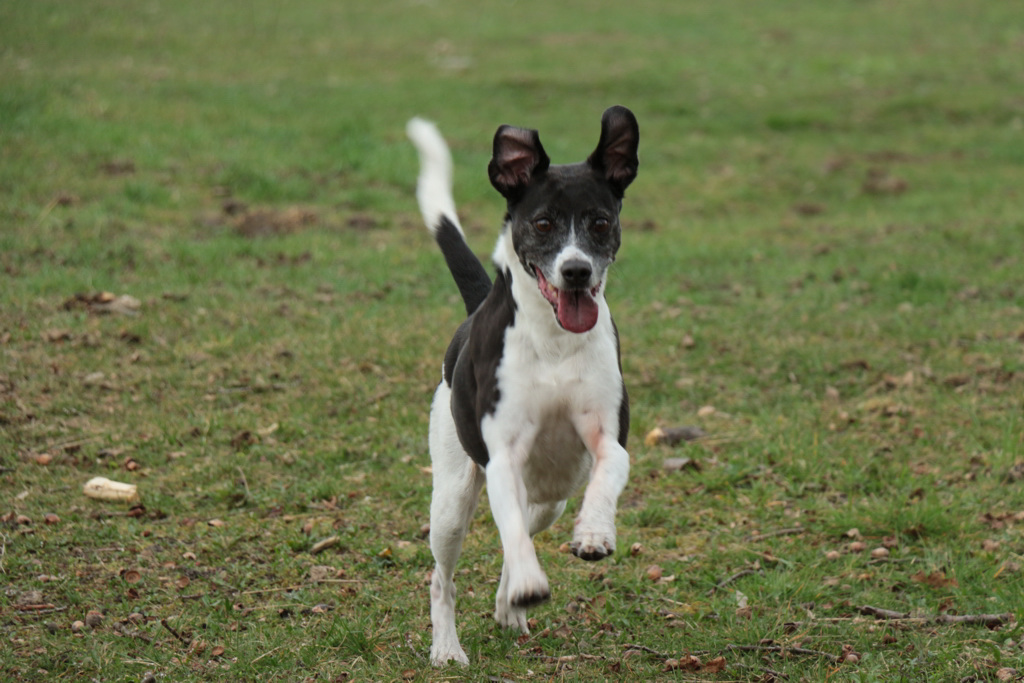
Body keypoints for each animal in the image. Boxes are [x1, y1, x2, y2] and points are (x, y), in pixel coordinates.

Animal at [407, 107, 638, 667]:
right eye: (543, 223)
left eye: (600, 222)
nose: (576, 271)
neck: (553, 340)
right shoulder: (503, 457)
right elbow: (508, 529)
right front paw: (529, 585)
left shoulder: (607, 436)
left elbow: (608, 471)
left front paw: (595, 532)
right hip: (452, 498)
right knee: (444, 576)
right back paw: (447, 646)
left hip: (551, 498)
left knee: (526, 533)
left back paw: (509, 604)